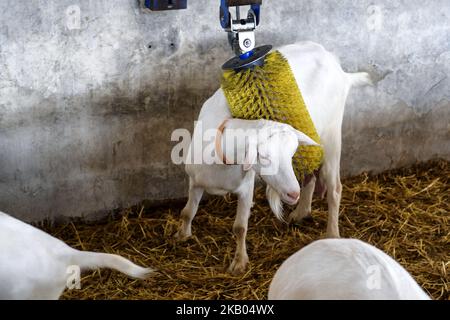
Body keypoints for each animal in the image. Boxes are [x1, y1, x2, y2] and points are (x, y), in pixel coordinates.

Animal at [176, 41, 372, 274]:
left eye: (289, 154)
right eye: (263, 157)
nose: (293, 193)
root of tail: (341, 71)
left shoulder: (246, 187)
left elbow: (240, 227)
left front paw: (239, 262)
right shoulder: (195, 180)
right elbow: (188, 211)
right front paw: (182, 236)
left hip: (332, 135)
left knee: (334, 189)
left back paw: (332, 234)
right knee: (310, 176)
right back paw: (301, 211)